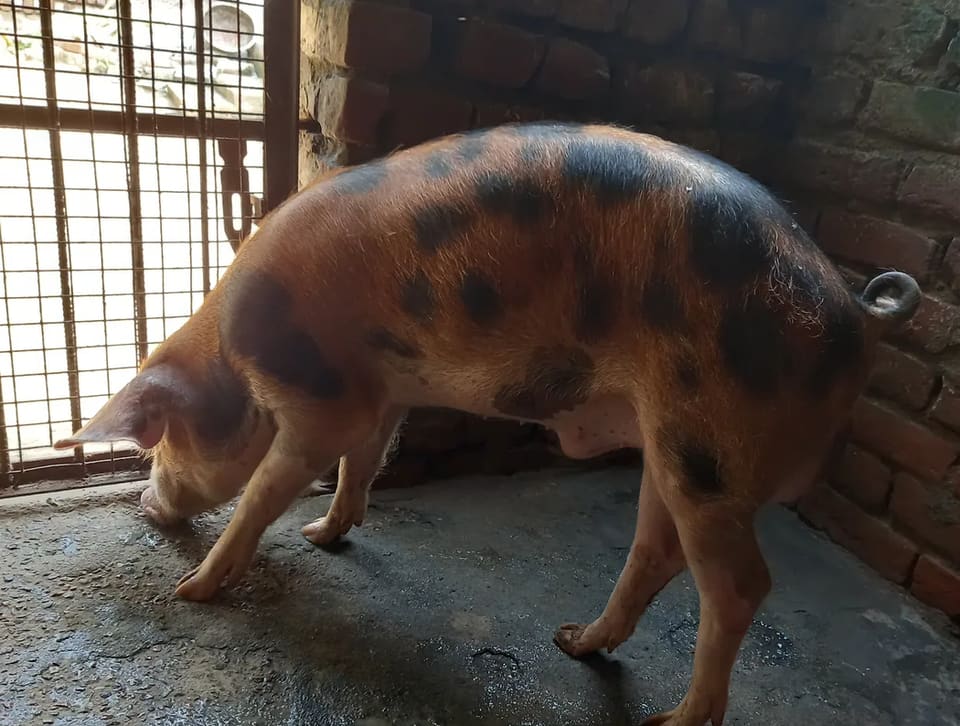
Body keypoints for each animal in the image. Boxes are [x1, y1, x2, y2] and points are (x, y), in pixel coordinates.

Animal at [54, 122, 920, 726]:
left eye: (160, 445)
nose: (145, 505)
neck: (238, 363)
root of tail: (853, 311)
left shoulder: (322, 401)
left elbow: (271, 490)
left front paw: (192, 590)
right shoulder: (383, 392)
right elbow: (363, 463)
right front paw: (324, 535)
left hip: (710, 439)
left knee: (741, 586)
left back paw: (671, 719)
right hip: (676, 449)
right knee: (657, 552)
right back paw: (573, 643)